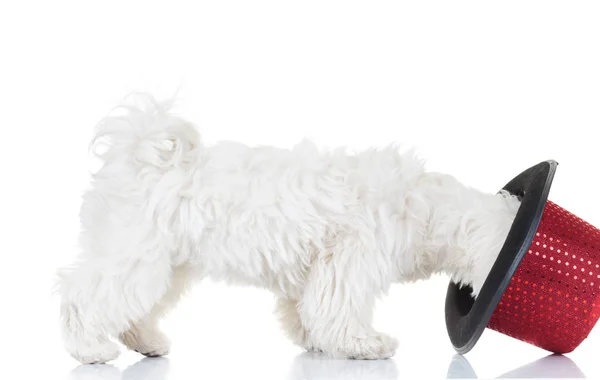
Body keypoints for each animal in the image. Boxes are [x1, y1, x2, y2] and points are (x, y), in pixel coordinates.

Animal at [58, 93, 524, 364]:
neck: (421, 205)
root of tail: (139, 156)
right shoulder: (350, 262)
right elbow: (339, 310)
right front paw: (364, 345)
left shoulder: (314, 271)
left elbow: (303, 310)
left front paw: (315, 341)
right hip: (135, 259)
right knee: (81, 299)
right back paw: (88, 350)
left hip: (166, 268)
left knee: (132, 311)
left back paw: (147, 342)